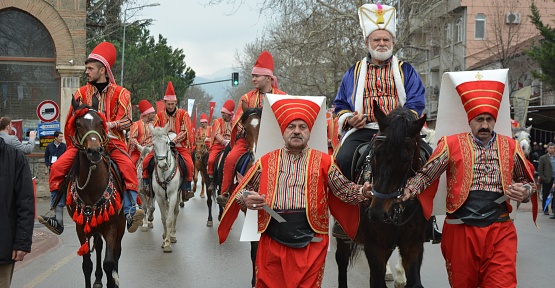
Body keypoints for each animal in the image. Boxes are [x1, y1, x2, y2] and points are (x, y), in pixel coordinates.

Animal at [60, 98, 127, 286]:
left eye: (100, 122)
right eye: (78, 123)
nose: (95, 151)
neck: (92, 187)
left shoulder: (112, 227)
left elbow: (109, 263)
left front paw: (112, 281)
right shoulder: (81, 228)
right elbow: (87, 265)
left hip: (120, 226)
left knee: (116, 253)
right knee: (97, 247)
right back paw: (98, 279)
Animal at [149, 124, 181, 252]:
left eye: (167, 143)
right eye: (153, 144)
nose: (162, 165)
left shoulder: (172, 195)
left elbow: (169, 219)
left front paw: (168, 243)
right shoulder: (159, 197)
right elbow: (164, 218)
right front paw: (164, 240)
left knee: (175, 212)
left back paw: (172, 235)